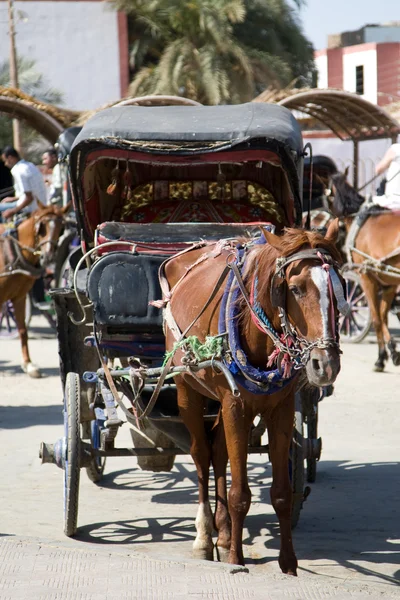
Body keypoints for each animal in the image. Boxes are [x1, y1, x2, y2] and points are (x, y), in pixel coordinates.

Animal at [0, 204, 69, 378]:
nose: (48, 255)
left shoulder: (19, 296)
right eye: (41, 227)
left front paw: (28, 364)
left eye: (61, 227)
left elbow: (23, 330)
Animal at [162, 220, 344, 572]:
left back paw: (222, 533)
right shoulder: (236, 405)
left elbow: (282, 493)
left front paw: (289, 563)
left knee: (218, 452)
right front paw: (236, 558)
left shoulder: (280, 409)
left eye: (338, 288)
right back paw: (205, 536)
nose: (325, 364)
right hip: (187, 388)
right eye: (296, 288)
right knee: (201, 454)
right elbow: (240, 494)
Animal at [332, 171, 400, 372]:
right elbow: (384, 317)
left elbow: (377, 318)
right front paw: (392, 352)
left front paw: (381, 357)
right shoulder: (388, 282)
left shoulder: (366, 277)